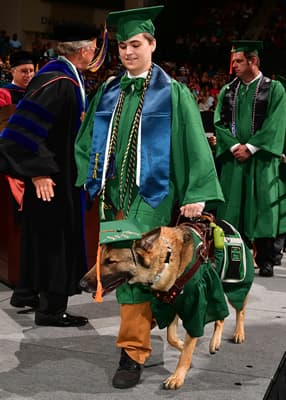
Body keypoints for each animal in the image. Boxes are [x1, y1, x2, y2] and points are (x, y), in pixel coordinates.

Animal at [79, 217, 254, 390]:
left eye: (110, 261)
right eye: (98, 259)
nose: (81, 284)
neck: (166, 260)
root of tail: (225, 223)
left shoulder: (196, 302)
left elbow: (187, 348)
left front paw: (178, 375)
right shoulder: (171, 304)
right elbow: (171, 337)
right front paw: (183, 346)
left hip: (235, 284)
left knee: (240, 310)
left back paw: (238, 333)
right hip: (215, 287)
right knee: (221, 316)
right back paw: (215, 342)